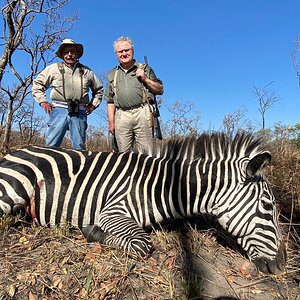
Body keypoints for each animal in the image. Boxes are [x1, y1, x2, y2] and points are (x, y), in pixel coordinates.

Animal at [0, 132, 286, 274]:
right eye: (268, 207)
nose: (282, 264)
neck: (167, 187)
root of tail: (16, 151)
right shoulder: (113, 210)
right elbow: (141, 244)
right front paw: (91, 231)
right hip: (12, 190)